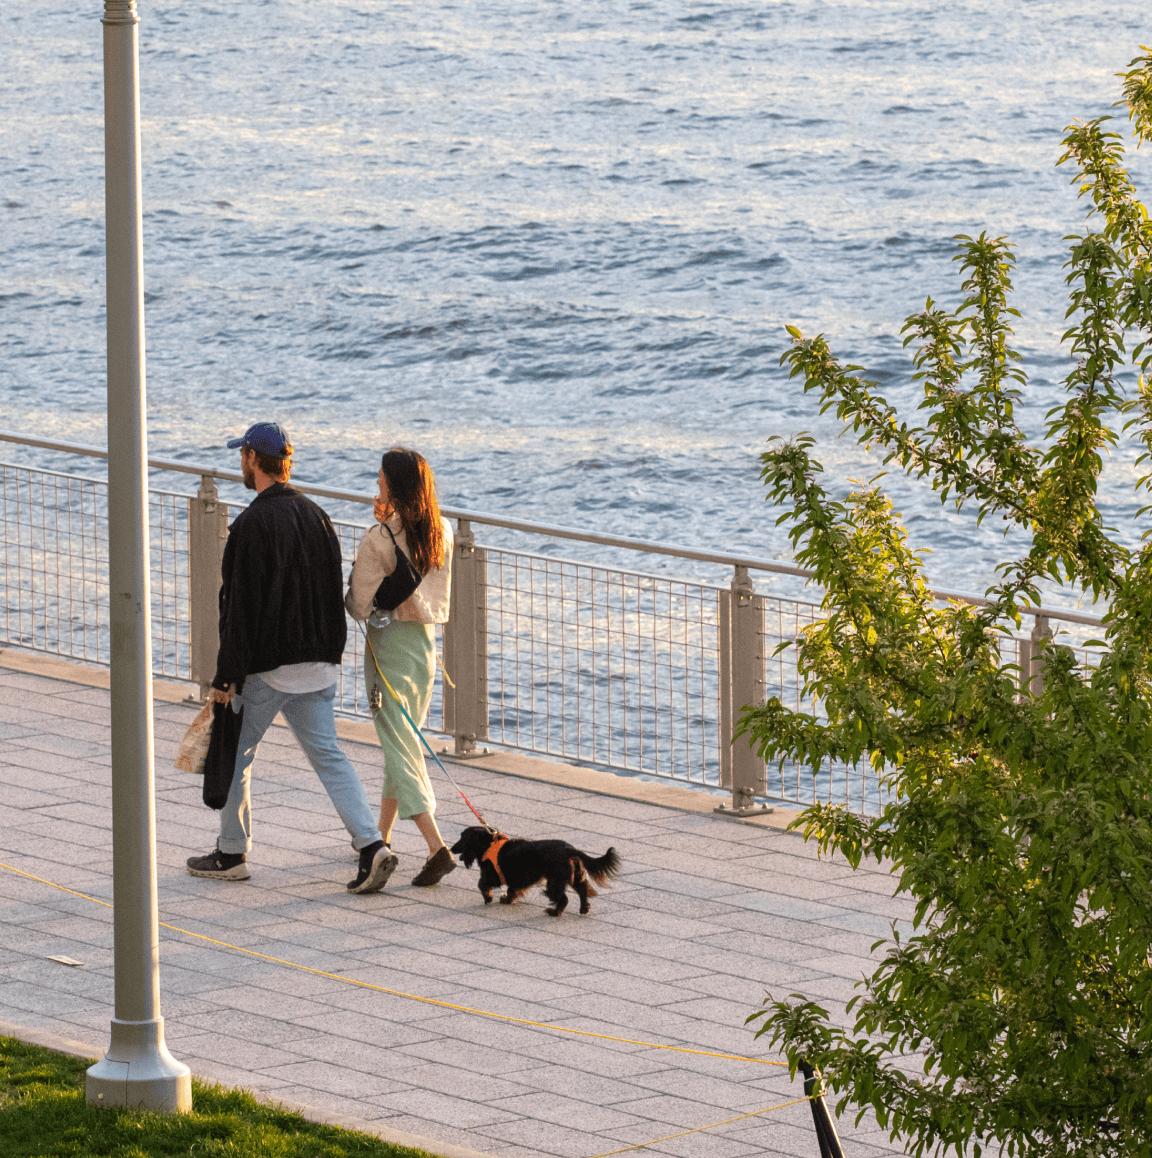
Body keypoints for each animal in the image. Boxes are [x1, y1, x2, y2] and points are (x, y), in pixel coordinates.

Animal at [449, 829, 615, 917]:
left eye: (462, 837)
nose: (451, 848)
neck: (488, 844)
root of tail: (571, 849)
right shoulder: (516, 880)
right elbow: (512, 890)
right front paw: (507, 899)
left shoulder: (492, 876)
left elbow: (482, 884)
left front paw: (488, 897)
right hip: (574, 877)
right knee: (582, 891)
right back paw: (584, 908)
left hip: (554, 882)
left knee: (564, 898)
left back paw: (554, 912)